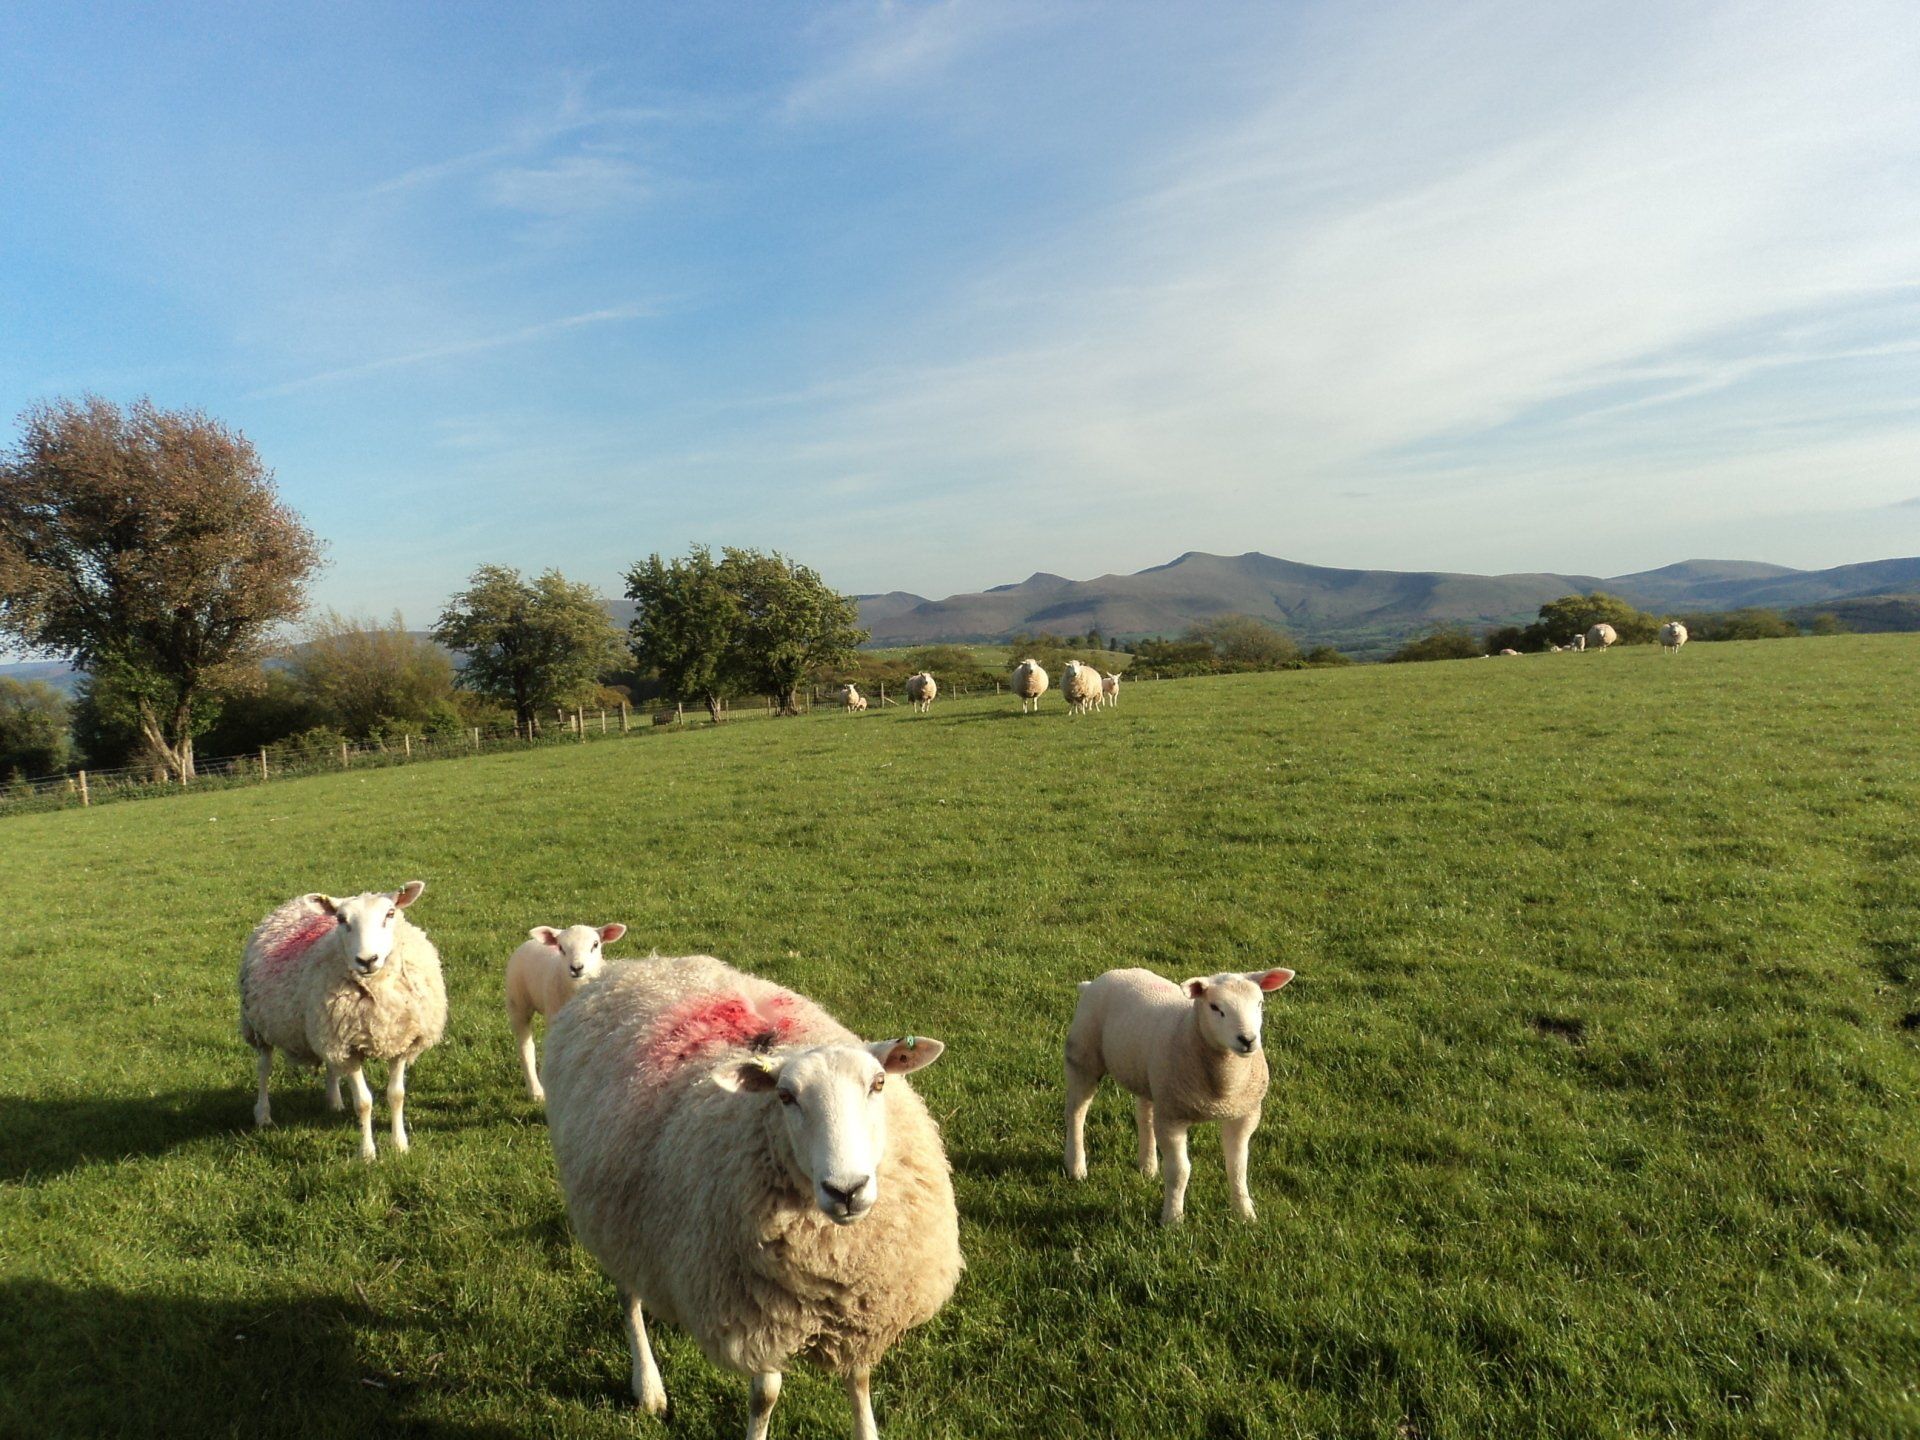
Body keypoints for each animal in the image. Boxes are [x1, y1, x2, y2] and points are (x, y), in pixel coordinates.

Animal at [239, 881, 446, 1161]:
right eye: (341, 919)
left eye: (390, 913)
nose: (367, 960)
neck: (378, 994)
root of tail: (292, 904)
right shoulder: (348, 1048)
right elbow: (364, 1103)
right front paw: (368, 1153)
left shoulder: (400, 1041)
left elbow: (396, 1096)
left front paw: (400, 1144)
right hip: (259, 1025)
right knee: (264, 1068)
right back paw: (263, 1114)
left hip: (324, 1029)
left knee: (330, 1064)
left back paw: (334, 1102)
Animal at [505, 922, 628, 1102]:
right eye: (561, 947)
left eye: (595, 944)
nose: (576, 968)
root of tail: (530, 942)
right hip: (517, 1003)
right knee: (526, 1047)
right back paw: (535, 1091)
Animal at [542, 955, 961, 1440]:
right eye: (785, 1096)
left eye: (878, 1083)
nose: (847, 1190)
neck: (831, 1256)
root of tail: (635, 966)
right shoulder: (755, 1316)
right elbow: (765, 1397)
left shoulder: (862, 1310)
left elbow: (858, 1379)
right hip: (614, 1219)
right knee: (629, 1298)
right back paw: (647, 1386)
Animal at [1064, 965, 1295, 1225]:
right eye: (1215, 1007)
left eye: (1259, 1003)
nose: (1247, 1040)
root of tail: (1101, 978)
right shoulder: (1172, 1118)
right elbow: (1180, 1171)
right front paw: (1173, 1219)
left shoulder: (1244, 1115)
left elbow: (1238, 1167)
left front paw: (1245, 1214)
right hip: (1083, 1055)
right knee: (1076, 1112)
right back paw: (1076, 1167)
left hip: (1149, 1077)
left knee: (1144, 1115)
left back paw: (1147, 1166)